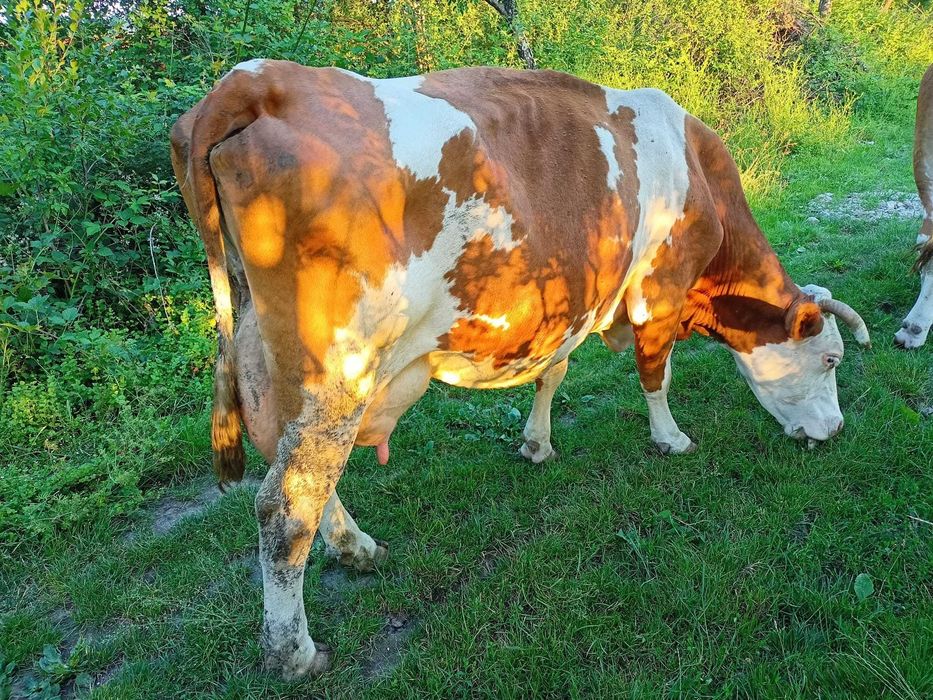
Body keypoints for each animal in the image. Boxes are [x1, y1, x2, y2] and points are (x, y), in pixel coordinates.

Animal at [170, 60, 870, 678]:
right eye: (830, 359)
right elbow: (656, 373)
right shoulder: (659, 288)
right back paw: (294, 652)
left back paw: (357, 549)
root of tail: (257, 80)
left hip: (270, 359)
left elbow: (552, 375)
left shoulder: (577, 301)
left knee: (300, 475)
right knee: (285, 506)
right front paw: (670, 439)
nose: (838, 430)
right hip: (339, 367)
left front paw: (537, 444)